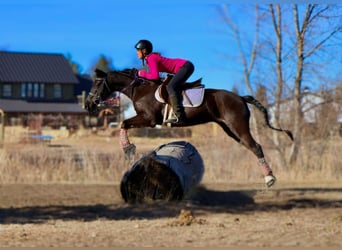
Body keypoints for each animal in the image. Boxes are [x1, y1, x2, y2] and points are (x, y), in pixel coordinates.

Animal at [84, 67, 292, 187]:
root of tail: (240, 97)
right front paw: (128, 149)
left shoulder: (149, 119)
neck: (139, 89)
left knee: (256, 147)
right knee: (251, 146)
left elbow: (124, 122)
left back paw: (270, 179)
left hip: (238, 126)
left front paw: (128, 149)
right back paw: (268, 176)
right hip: (231, 130)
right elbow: (124, 123)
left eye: (97, 84)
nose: (88, 105)